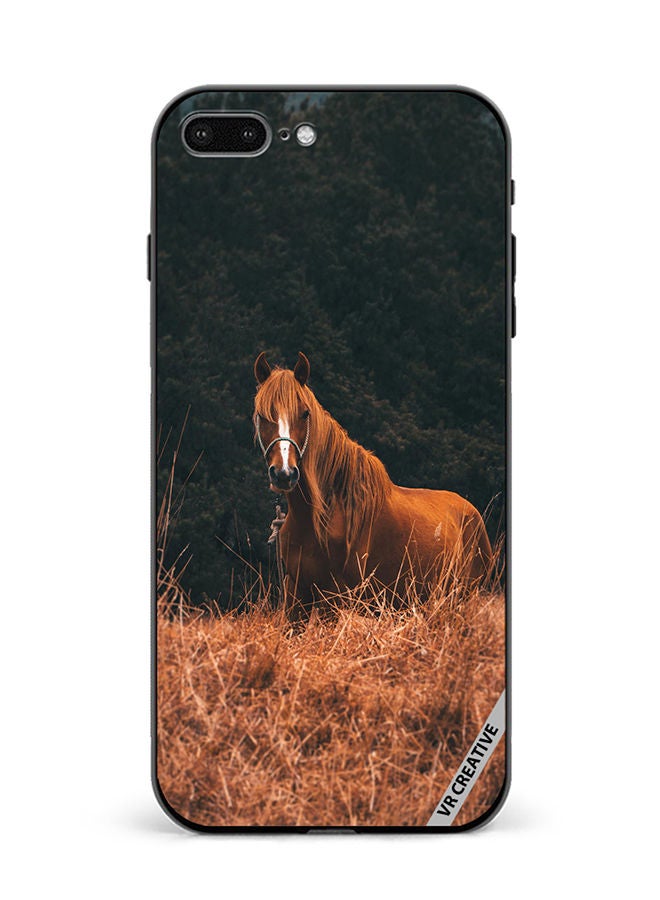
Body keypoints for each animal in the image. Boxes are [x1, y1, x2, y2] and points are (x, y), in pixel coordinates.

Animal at [253, 351, 493, 610]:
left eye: (305, 413)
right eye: (261, 415)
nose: (284, 473)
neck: (325, 515)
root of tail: (474, 515)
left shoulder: (337, 598)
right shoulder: (296, 594)